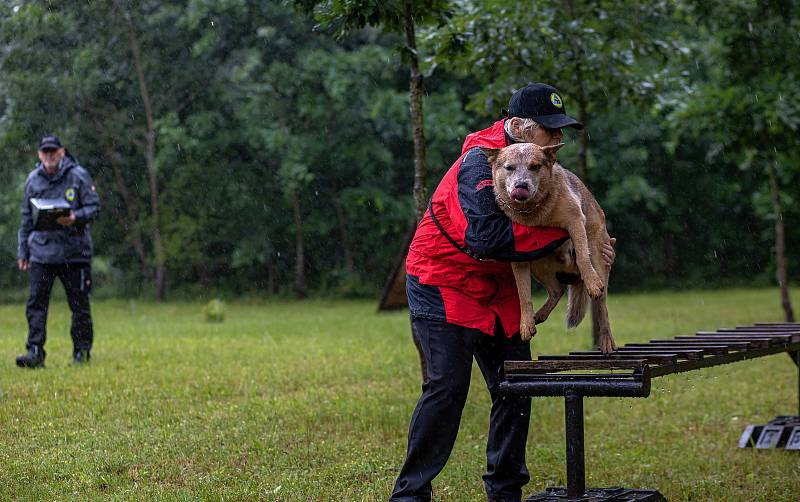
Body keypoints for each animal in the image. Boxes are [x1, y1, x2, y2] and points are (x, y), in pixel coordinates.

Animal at [484, 141, 616, 352]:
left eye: (535, 166)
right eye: (509, 167)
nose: (521, 185)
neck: (535, 213)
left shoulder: (575, 220)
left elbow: (582, 256)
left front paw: (592, 283)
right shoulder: (517, 253)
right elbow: (523, 293)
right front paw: (525, 324)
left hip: (598, 254)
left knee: (601, 305)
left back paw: (606, 340)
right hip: (538, 263)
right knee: (557, 290)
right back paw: (539, 315)